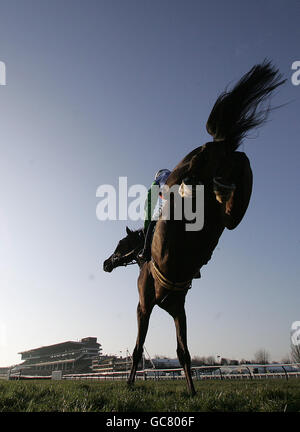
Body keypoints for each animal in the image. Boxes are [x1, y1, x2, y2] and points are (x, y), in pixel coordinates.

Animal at [103, 60, 286, 394]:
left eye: (121, 245)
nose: (106, 263)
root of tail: (216, 145)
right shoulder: (178, 308)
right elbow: (183, 351)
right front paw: (190, 391)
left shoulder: (144, 304)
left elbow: (138, 349)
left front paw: (131, 385)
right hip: (231, 191)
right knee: (238, 184)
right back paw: (223, 189)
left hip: (184, 173)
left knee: (190, 182)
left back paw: (200, 187)